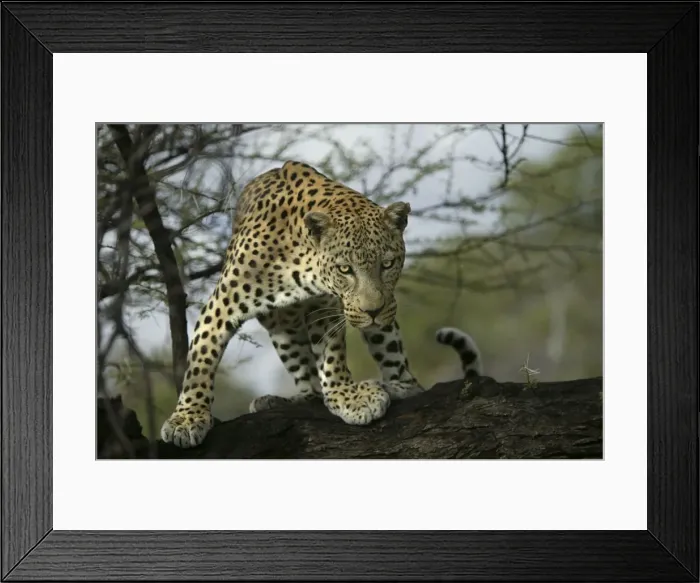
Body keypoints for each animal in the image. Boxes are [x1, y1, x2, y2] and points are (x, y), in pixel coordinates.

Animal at [160, 160, 483, 448]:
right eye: (345, 269)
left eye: (388, 264)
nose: (373, 311)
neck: (301, 263)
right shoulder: (223, 302)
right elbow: (201, 360)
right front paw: (187, 419)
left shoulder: (327, 309)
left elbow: (333, 356)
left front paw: (348, 396)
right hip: (283, 330)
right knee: (308, 384)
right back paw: (278, 400)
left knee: (404, 376)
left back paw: (392, 386)